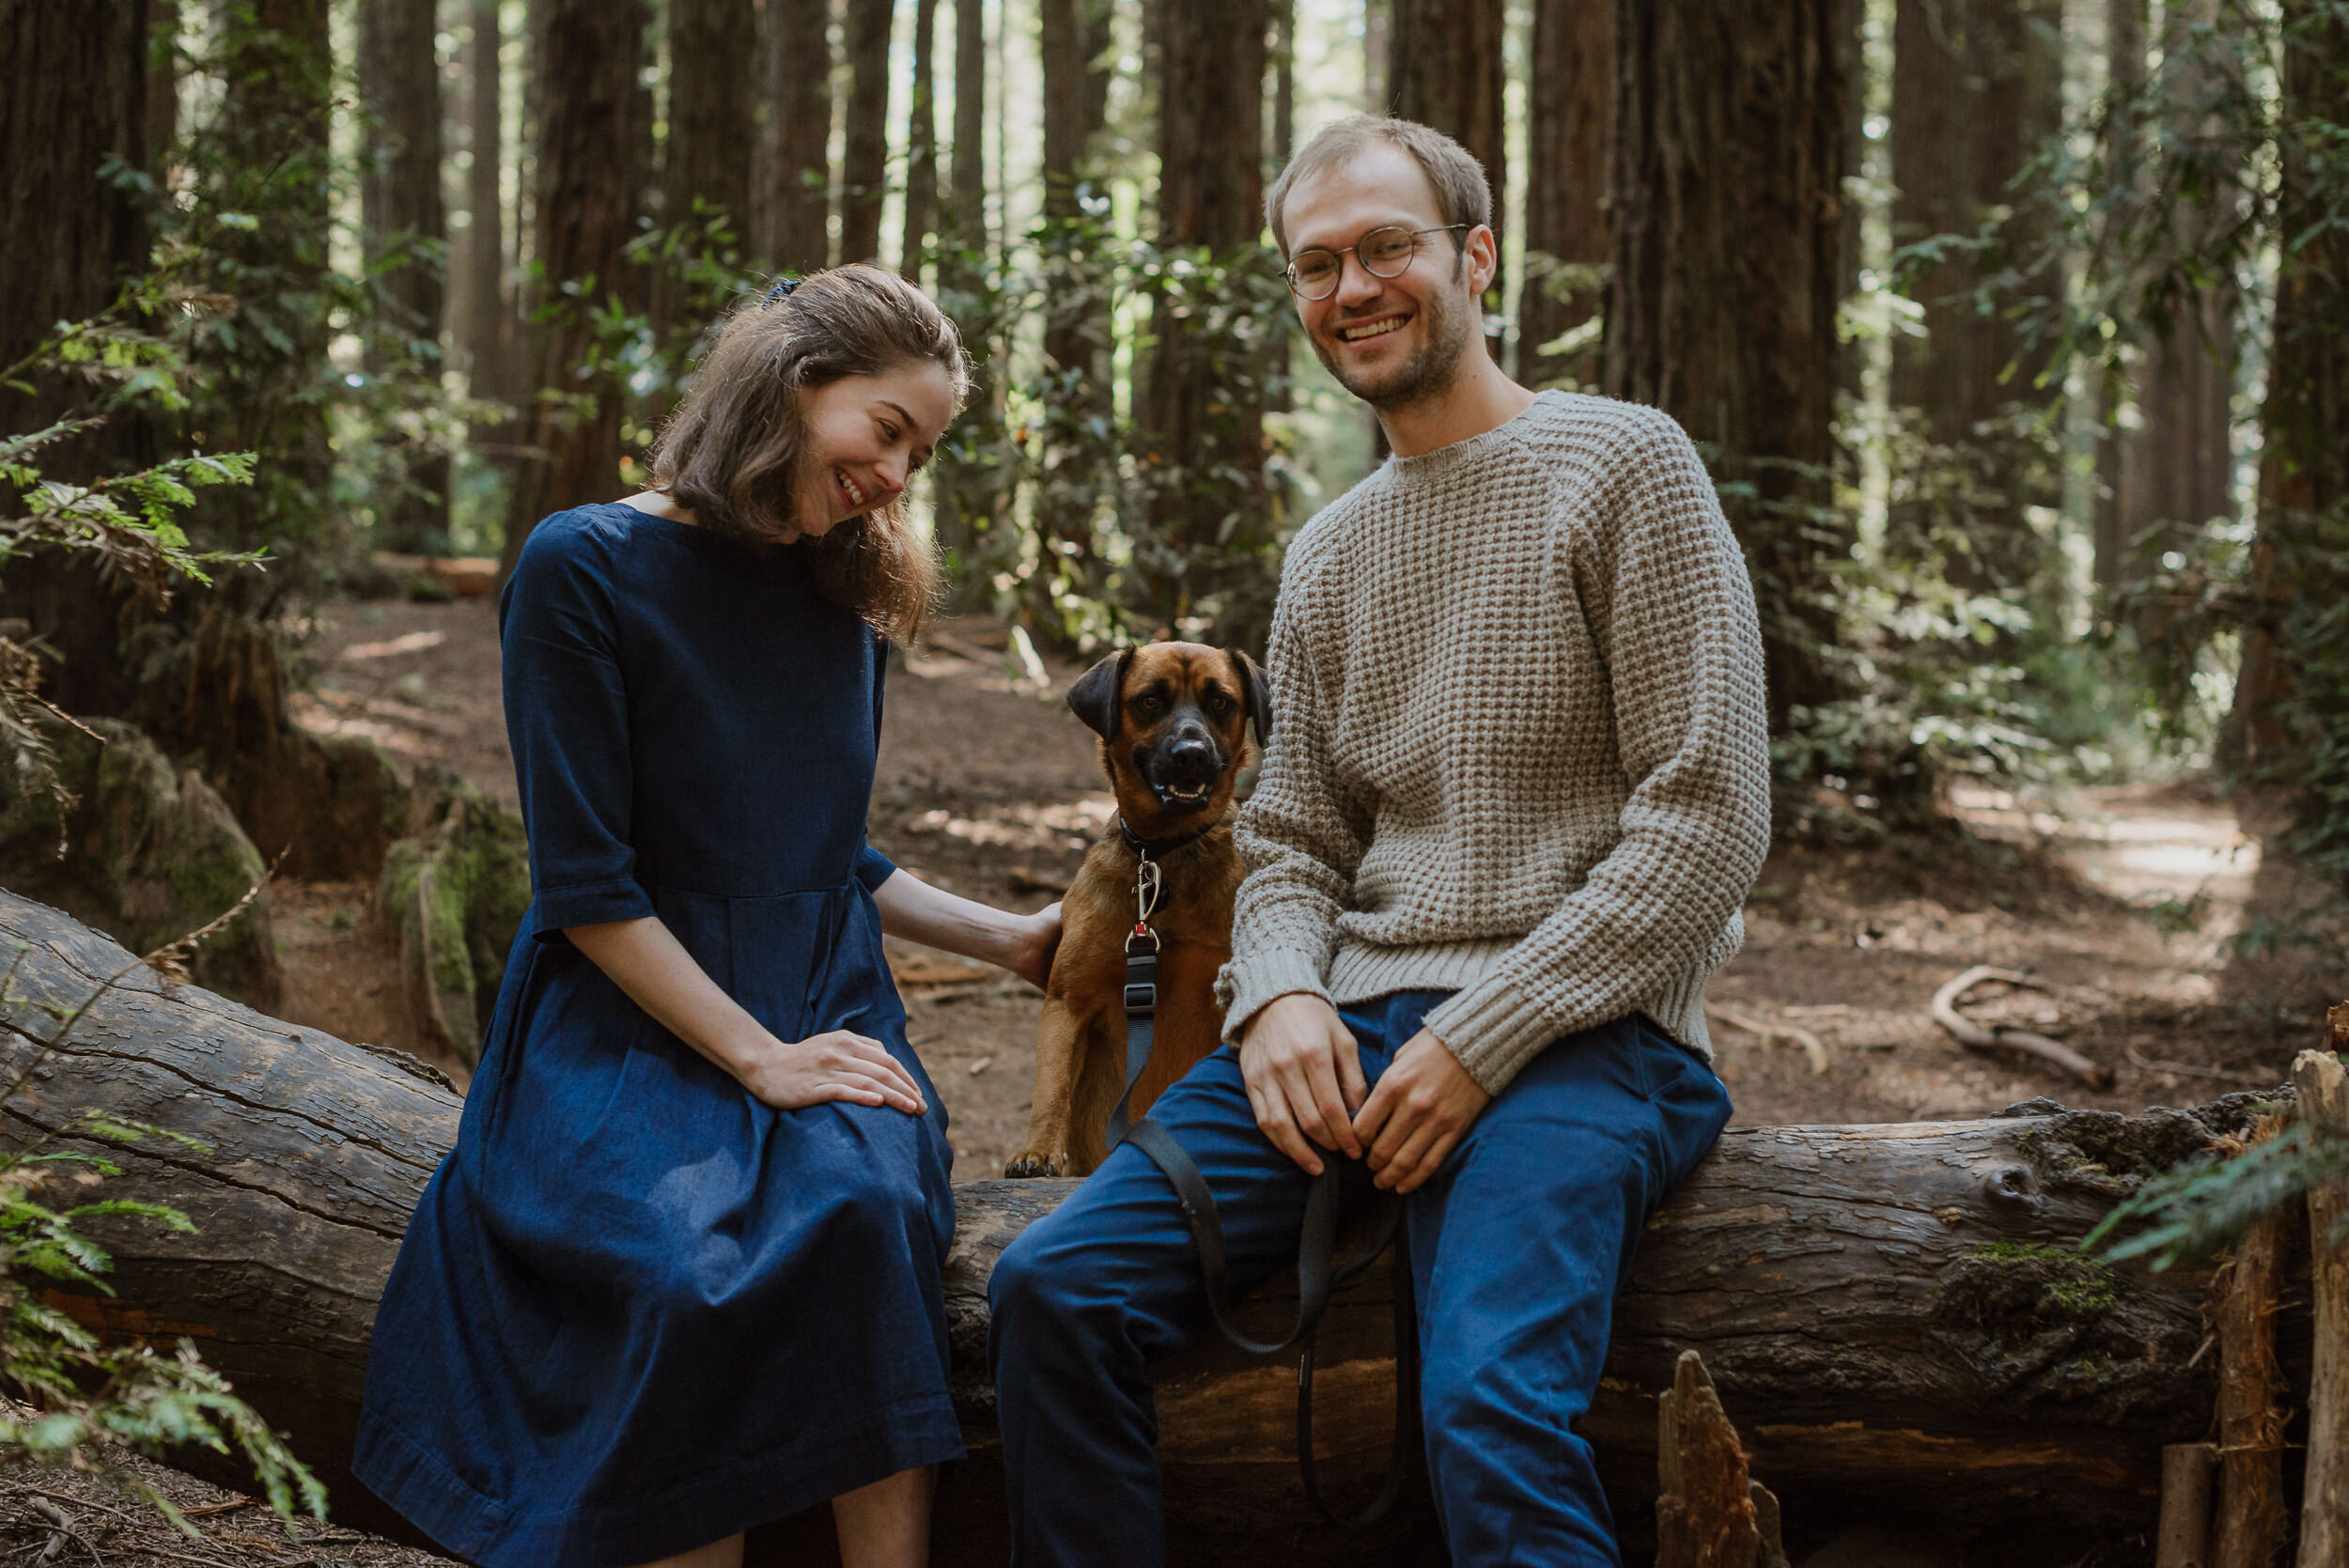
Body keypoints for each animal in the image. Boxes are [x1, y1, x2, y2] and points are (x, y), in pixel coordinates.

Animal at [1005, 638, 1278, 1173]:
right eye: (1150, 700)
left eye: (1221, 702)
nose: (1192, 754)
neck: (1163, 858)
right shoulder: (1068, 1001)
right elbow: (1052, 1089)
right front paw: (1037, 1151)